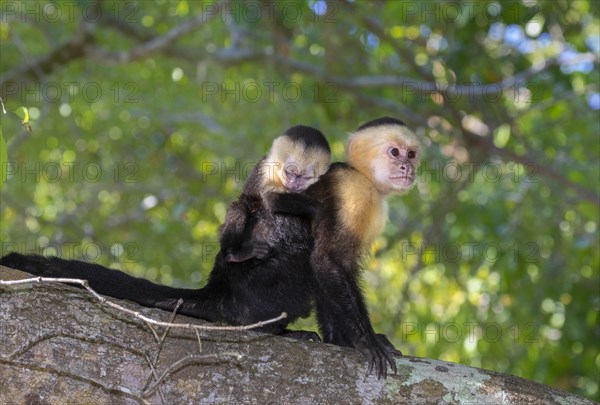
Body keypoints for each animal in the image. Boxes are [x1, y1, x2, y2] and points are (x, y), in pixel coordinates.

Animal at [0, 125, 330, 338]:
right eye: (289, 172)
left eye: (304, 176)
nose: (294, 184)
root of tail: (220, 288)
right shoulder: (263, 171)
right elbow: (250, 202)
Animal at [270, 117, 420, 376]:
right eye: (394, 152)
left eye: (411, 154)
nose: (407, 167)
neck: (363, 176)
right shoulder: (353, 192)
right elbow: (327, 260)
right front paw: (366, 340)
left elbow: (333, 273)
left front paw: (340, 340)